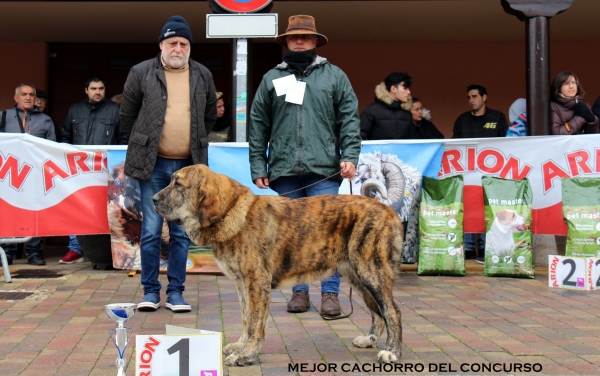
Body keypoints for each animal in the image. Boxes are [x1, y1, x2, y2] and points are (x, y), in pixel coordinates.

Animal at [152, 164, 404, 364]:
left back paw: (392, 352)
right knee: (378, 312)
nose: (153, 199)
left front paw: (246, 356)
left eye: (178, 184)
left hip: (371, 272)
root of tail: (386, 209)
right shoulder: (243, 285)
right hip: (358, 276)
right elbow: (246, 319)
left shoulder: (257, 283)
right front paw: (240, 347)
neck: (230, 211)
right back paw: (370, 339)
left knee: (392, 311)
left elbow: (255, 323)